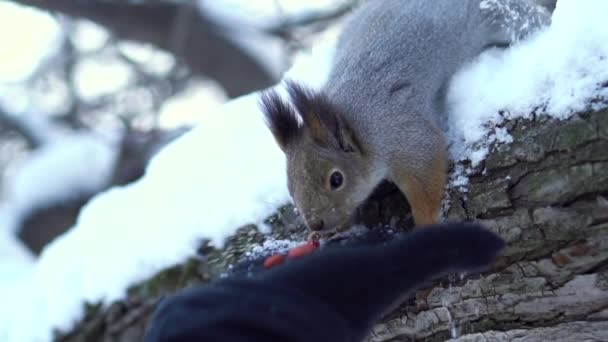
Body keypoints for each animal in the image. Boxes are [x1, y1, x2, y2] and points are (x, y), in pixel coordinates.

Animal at [258, 0, 552, 232]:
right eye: (290, 186)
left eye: (336, 179)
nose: (315, 224)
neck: (355, 125)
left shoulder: (402, 135)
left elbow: (426, 172)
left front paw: (425, 222)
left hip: (502, 17)